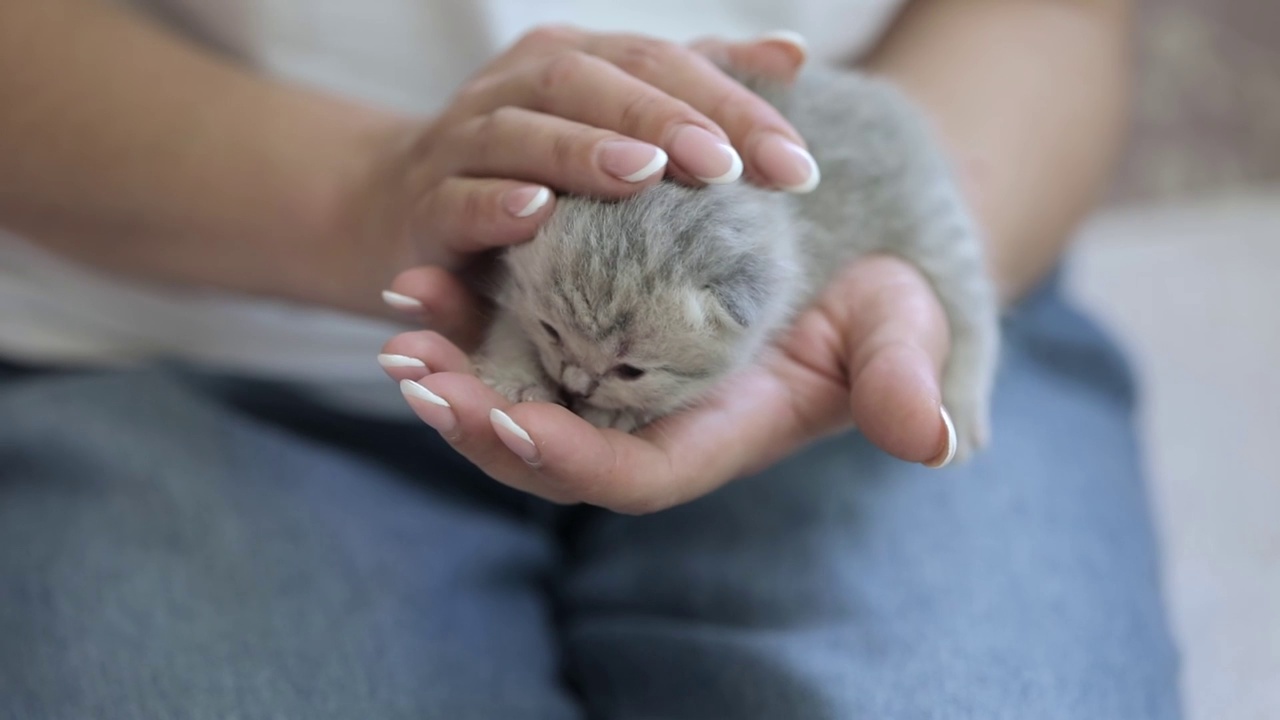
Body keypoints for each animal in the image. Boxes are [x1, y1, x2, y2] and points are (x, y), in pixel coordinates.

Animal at [471, 67, 998, 458]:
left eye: (631, 371)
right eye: (552, 331)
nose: (575, 386)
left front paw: (618, 411)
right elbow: (510, 322)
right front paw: (513, 374)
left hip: (932, 226)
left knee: (973, 308)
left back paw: (961, 400)